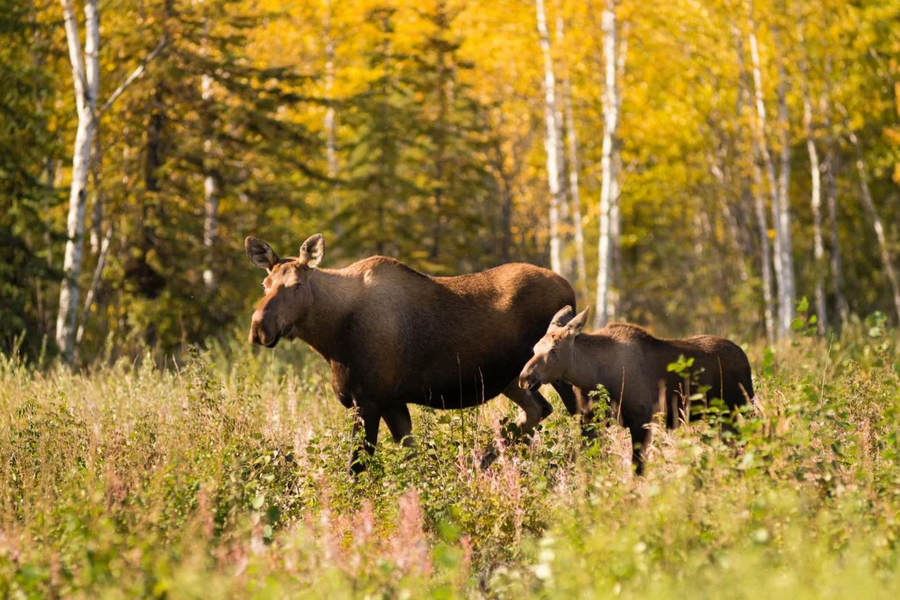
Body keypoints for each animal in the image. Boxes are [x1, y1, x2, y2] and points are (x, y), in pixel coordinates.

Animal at [244, 234, 584, 474]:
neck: (331, 340)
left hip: (559, 371)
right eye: (264, 283)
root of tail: (570, 289)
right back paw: (479, 461)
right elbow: (412, 460)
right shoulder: (392, 402)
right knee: (538, 411)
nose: (260, 327)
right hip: (514, 379)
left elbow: (356, 469)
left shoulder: (369, 399)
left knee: (580, 413)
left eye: (297, 285)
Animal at [520, 310, 752, 474]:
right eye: (534, 348)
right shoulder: (590, 420)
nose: (524, 378)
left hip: (741, 408)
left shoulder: (642, 419)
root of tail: (744, 357)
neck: (592, 375)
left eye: (553, 350)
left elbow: (637, 468)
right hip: (717, 416)